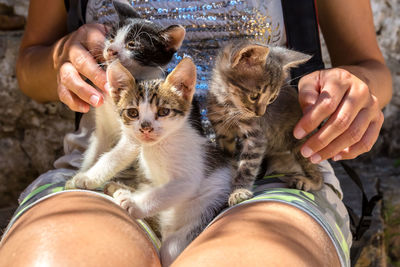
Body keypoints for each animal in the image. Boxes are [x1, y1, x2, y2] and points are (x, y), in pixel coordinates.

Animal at [65, 1, 185, 191]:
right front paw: (79, 175)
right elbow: (95, 151)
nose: (110, 50)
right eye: (112, 37)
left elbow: (112, 157)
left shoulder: (136, 134)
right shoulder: (103, 128)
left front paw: (88, 178)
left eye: (132, 44)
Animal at [101, 59, 230, 267]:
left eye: (163, 111)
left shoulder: (187, 177)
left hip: (203, 214)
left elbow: (161, 194)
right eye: (133, 112)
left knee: (170, 248)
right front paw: (125, 193)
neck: (159, 147)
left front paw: (134, 204)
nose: (146, 127)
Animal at [208, 41, 324, 207]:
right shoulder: (222, 132)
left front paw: (239, 191)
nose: (260, 114)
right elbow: (229, 158)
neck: (229, 107)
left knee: (319, 175)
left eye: (272, 98)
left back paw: (309, 181)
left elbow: (247, 166)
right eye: (254, 96)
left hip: (302, 144)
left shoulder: (256, 137)